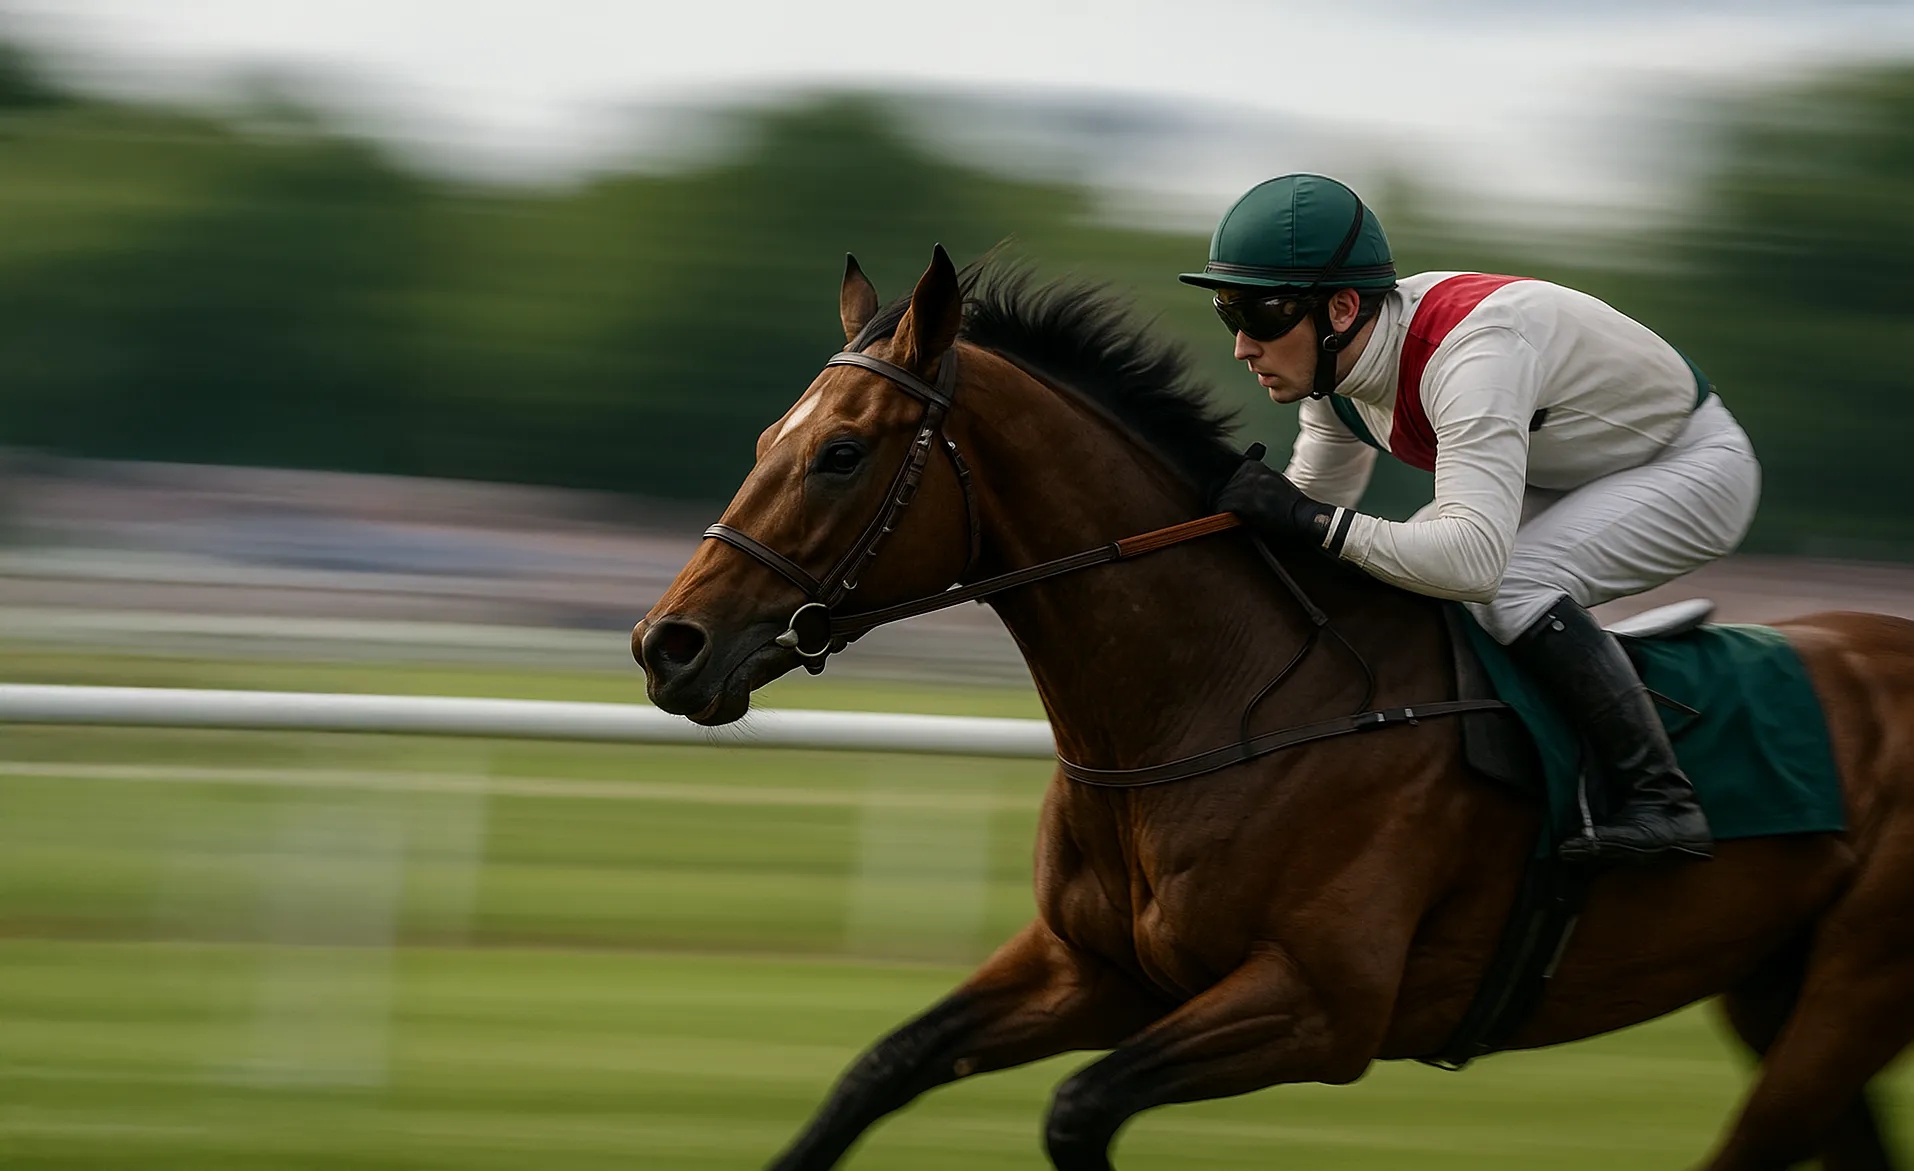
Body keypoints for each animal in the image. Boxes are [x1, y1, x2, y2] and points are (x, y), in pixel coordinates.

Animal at [634, 246, 1914, 1171]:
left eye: (843, 454)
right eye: (770, 438)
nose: (667, 645)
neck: (1216, 701)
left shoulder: (1321, 1005)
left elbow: (1077, 1109)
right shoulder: (1088, 969)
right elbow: (879, 1069)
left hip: (1851, 997)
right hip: (1778, 990)